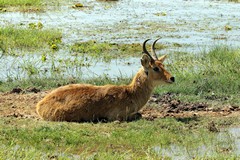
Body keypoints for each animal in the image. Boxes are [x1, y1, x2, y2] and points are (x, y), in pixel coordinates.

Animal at [35, 39, 174, 122]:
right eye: (155, 68)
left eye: (163, 65)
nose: (172, 78)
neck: (129, 93)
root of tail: (40, 104)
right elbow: (139, 115)